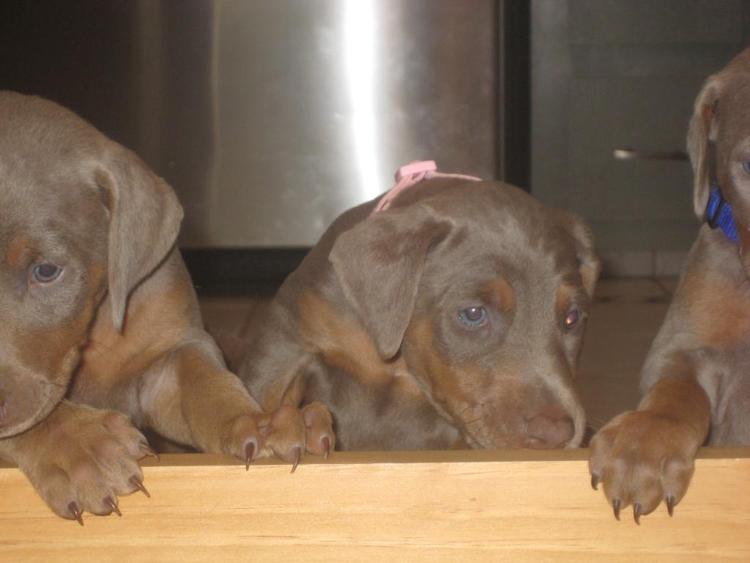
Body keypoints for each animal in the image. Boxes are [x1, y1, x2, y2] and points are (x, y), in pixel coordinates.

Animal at [232, 161, 604, 452]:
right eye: (473, 314)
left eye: (572, 318)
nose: (556, 434)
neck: (403, 361)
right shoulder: (290, 331)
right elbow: (263, 393)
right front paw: (285, 429)